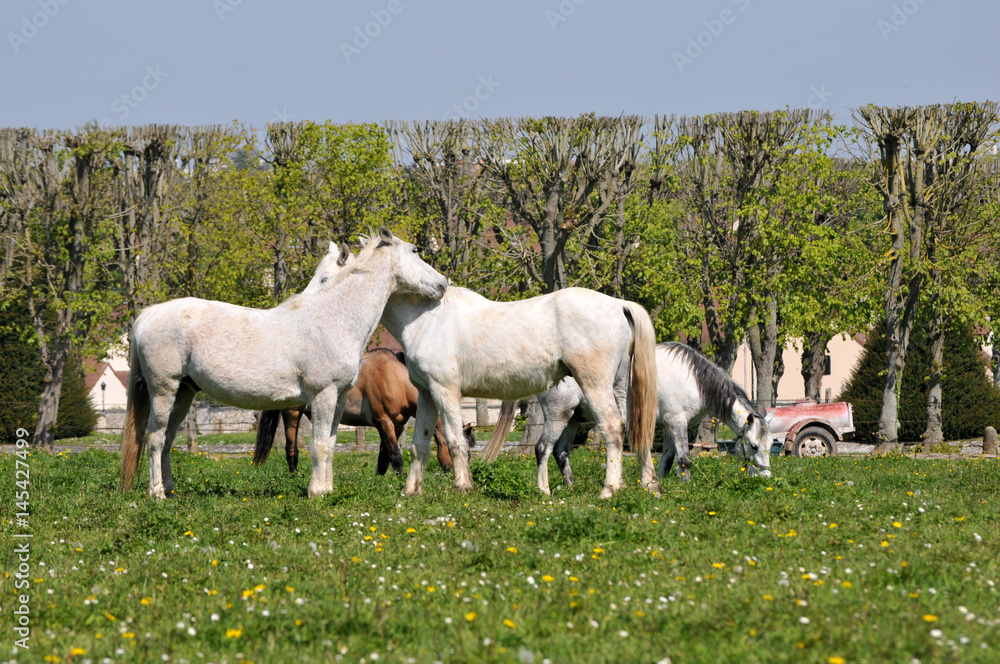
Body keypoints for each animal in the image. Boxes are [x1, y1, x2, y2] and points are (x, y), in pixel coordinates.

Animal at [119, 228, 448, 499]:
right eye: (415, 250)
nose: (443, 283)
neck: (335, 317)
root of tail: (148, 315)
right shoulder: (323, 395)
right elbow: (319, 445)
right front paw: (317, 492)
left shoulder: (339, 397)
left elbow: (329, 444)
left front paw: (328, 488)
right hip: (164, 390)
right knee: (154, 438)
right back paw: (157, 493)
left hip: (184, 393)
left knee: (167, 440)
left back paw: (170, 489)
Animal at [252, 348, 476, 475]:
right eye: (467, 454)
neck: (395, 380)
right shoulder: (383, 421)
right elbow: (395, 454)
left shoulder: (396, 424)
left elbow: (384, 456)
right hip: (292, 413)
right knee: (291, 448)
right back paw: (294, 475)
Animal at [379, 286, 661, 499]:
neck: (428, 320)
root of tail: (619, 304)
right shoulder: (427, 392)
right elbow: (421, 443)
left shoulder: (442, 390)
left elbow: (454, 439)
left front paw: (462, 487)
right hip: (617, 389)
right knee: (632, 429)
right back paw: (647, 484)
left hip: (594, 387)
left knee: (611, 428)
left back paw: (608, 490)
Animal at [524, 341, 772, 494]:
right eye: (753, 445)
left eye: (771, 445)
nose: (766, 477)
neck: (693, 380)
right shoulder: (678, 423)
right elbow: (684, 459)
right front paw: (686, 486)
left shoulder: (671, 425)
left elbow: (667, 460)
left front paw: (655, 483)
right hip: (558, 415)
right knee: (543, 449)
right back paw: (544, 491)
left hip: (573, 419)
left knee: (561, 452)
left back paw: (572, 486)